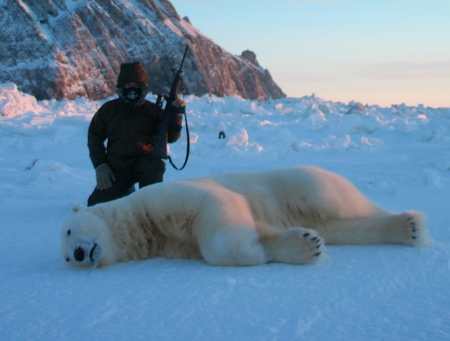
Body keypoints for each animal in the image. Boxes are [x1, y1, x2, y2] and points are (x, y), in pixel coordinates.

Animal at [60, 166, 428, 266]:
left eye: (67, 232)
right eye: (65, 258)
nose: (78, 254)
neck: (141, 222)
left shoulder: (162, 199)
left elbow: (216, 215)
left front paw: (253, 252)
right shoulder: (169, 243)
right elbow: (259, 228)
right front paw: (304, 245)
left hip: (304, 183)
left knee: (338, 201)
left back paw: (409, 219)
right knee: (345, 229)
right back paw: (407, 228)